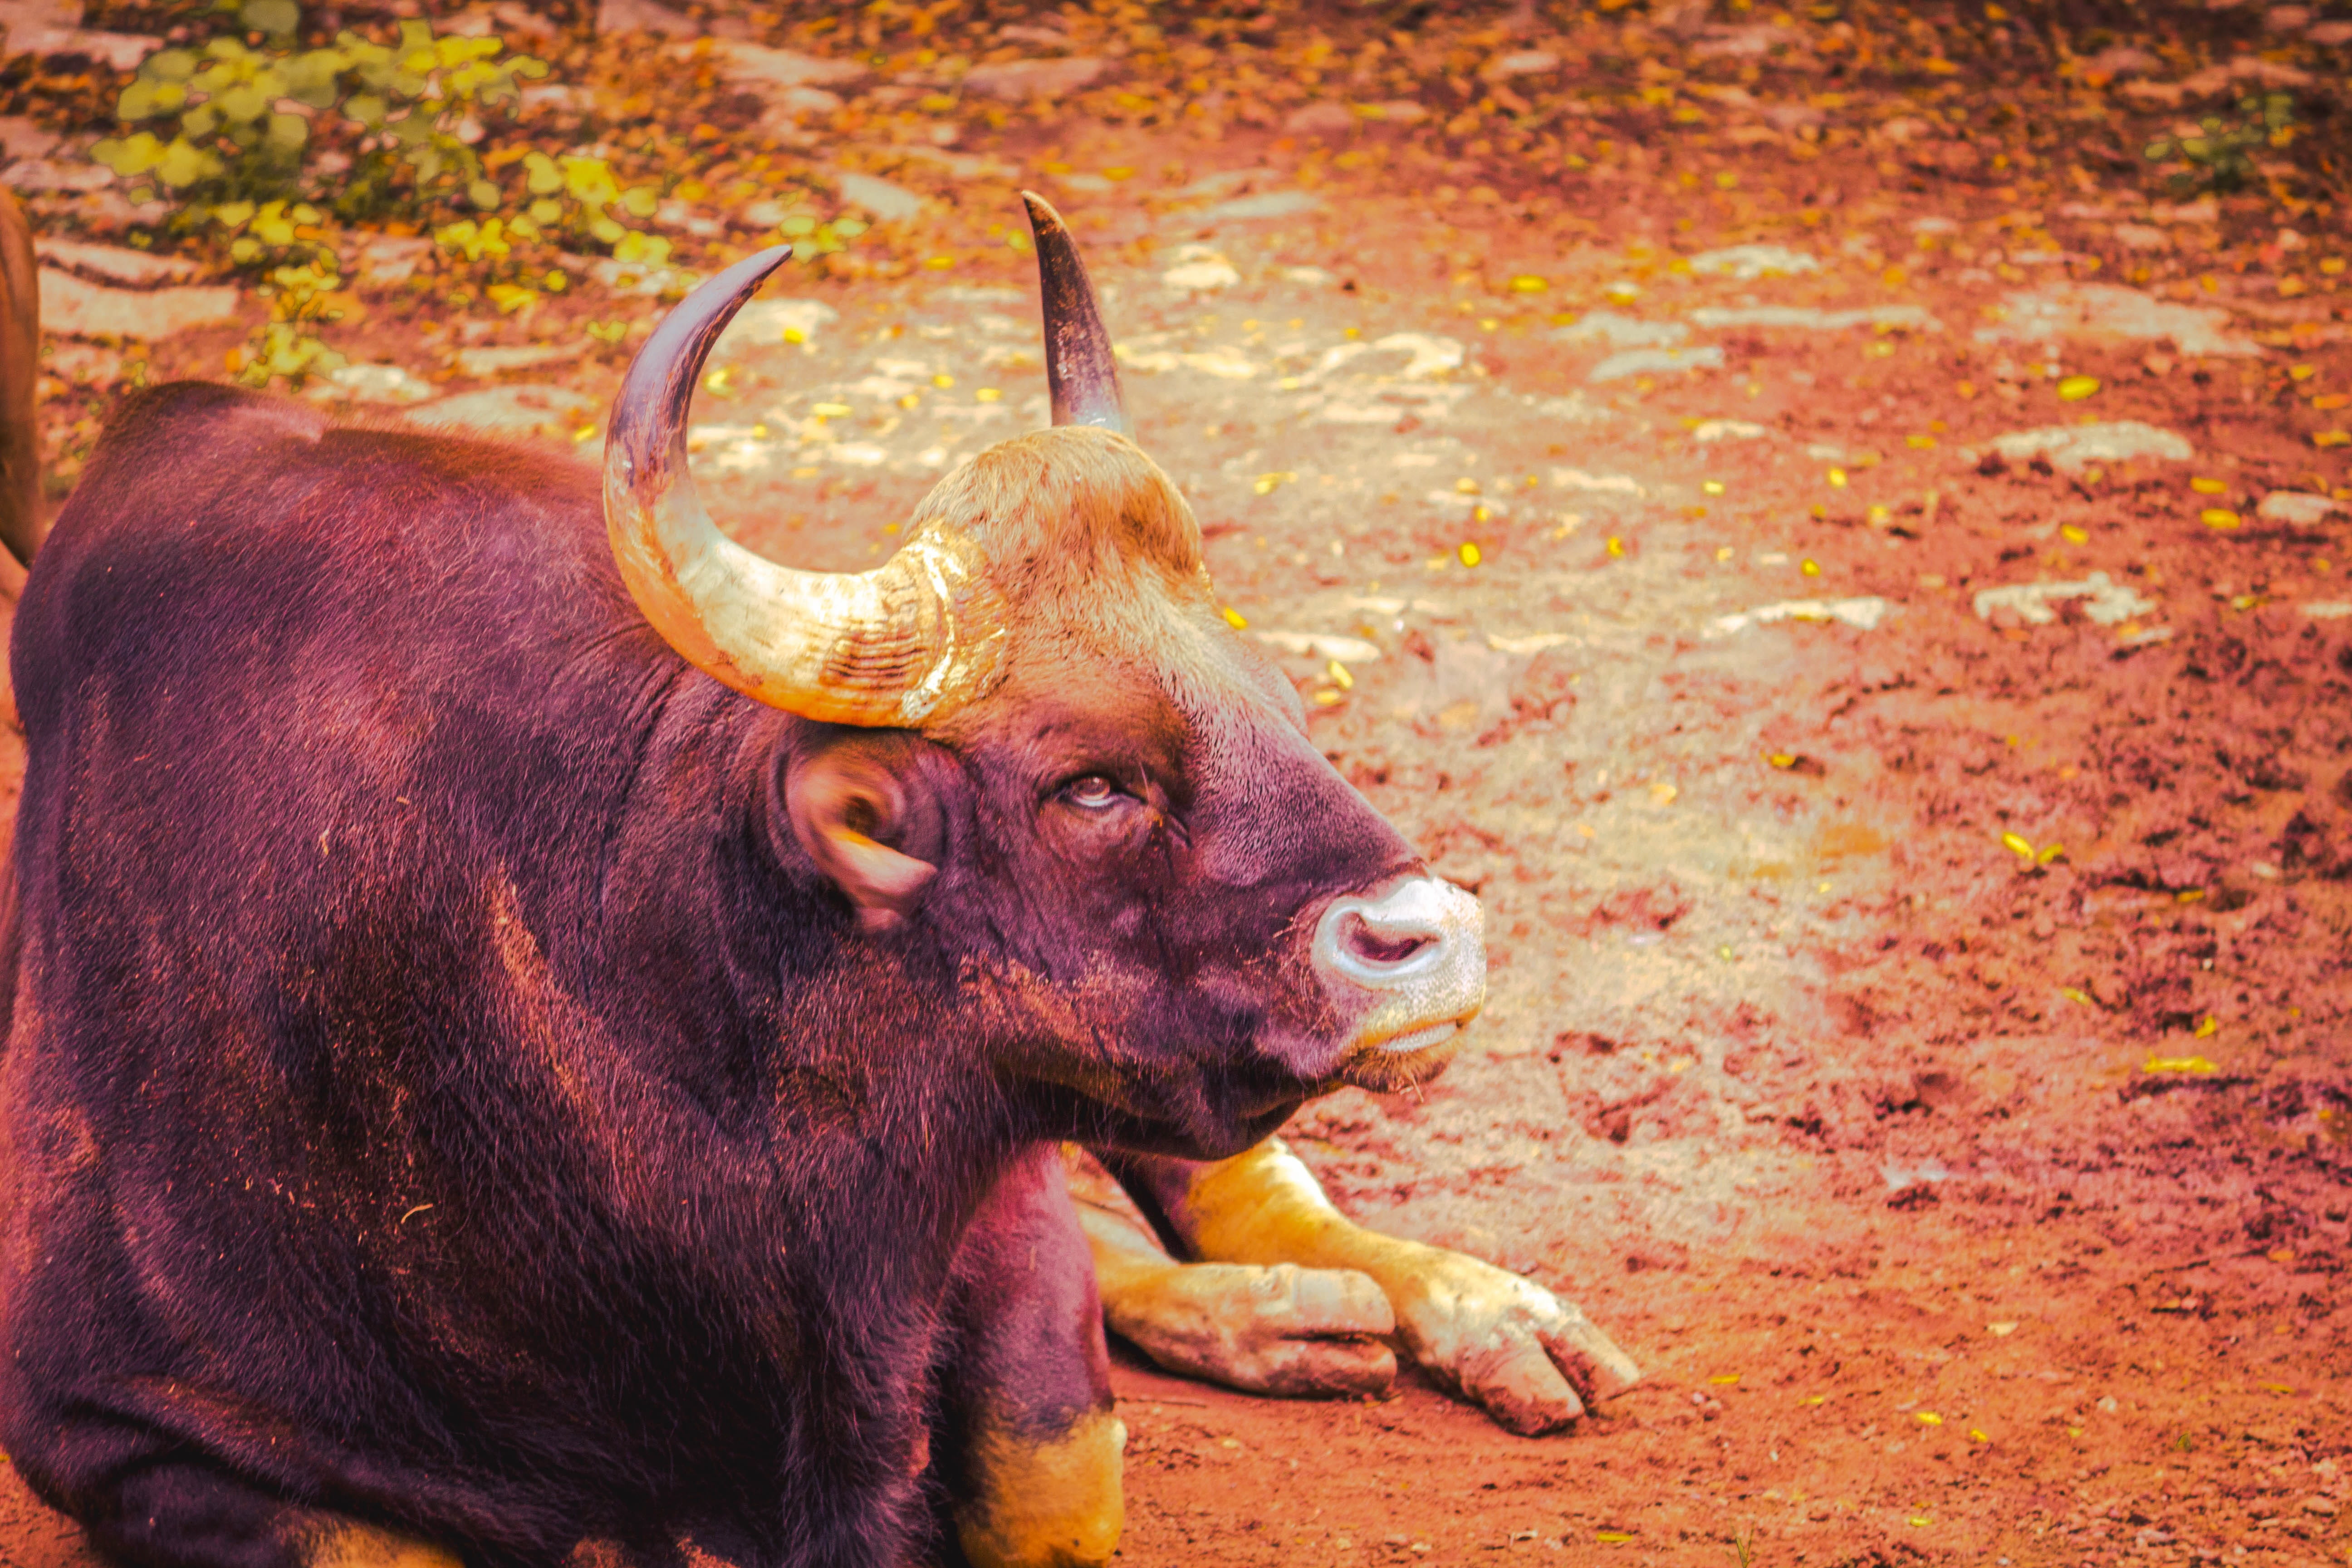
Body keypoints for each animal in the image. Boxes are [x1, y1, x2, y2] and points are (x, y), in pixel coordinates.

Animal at [0, 189, 1633, 1568]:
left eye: (1278, 702)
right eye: (1090, 782)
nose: (1424, 938)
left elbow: (1049, 1465)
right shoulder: (115, 1421)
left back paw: (1464, 1317)